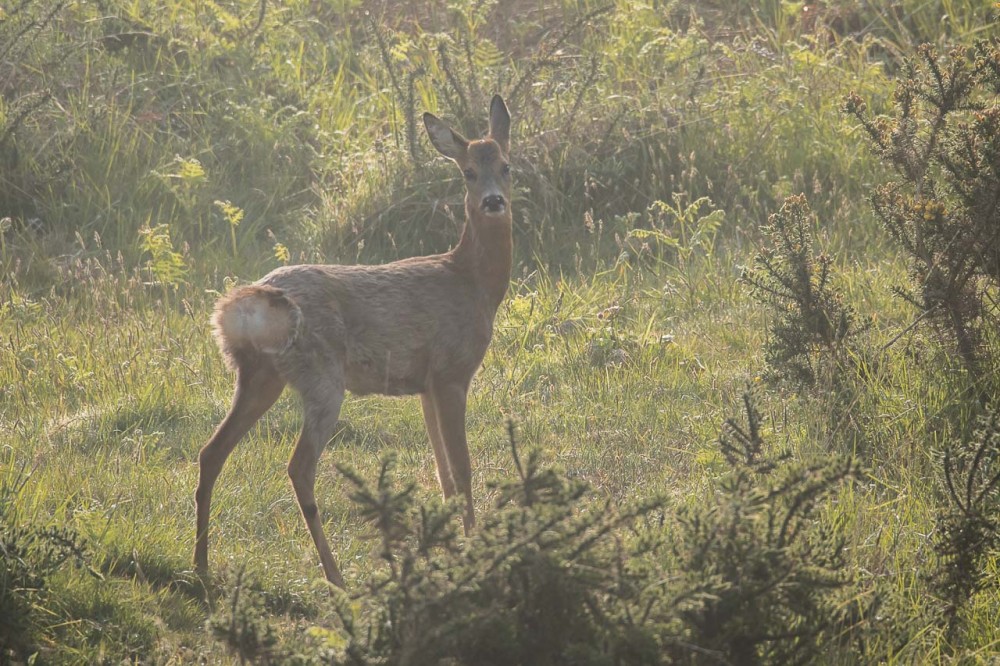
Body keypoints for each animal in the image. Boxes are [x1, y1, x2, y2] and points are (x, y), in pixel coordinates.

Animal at [191, 94, 512, 588]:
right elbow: (462, 469)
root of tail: (241, 308)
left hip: (260, 376)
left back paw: (201, 565)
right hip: (322, 376)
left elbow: (442, 471)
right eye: (467, 173)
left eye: (508, 166)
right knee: (298, 467)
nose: (494, 201)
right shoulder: (452, 370)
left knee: (212, 452)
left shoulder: (425, 384)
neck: (474, 283)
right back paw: (336, 577)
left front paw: (451, 548)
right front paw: (476, 550)